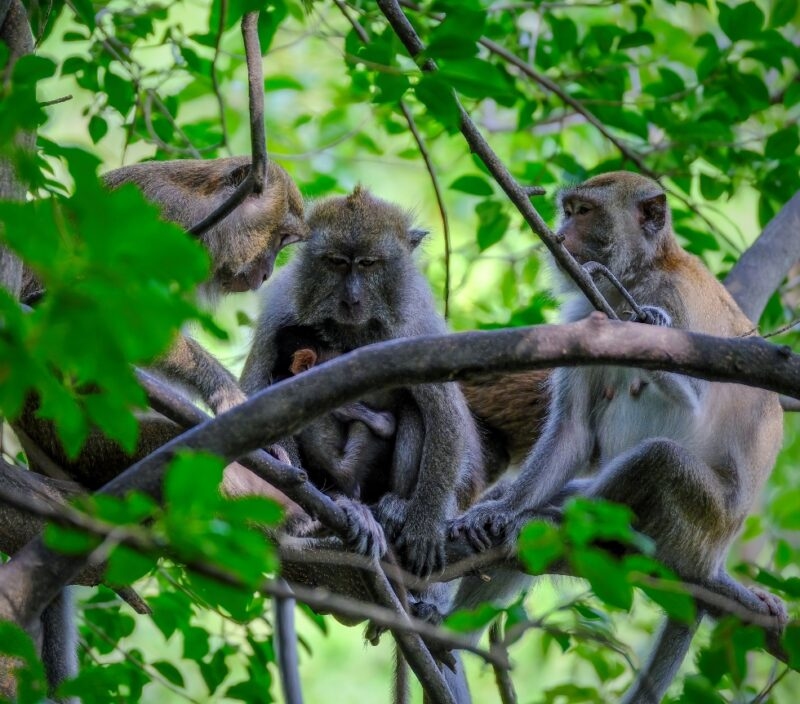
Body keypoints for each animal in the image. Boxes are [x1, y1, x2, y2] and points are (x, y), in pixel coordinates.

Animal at [449, 172, 787, 703]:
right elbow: (573, 432)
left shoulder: (674, 303)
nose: (560, 235)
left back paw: (549, 520)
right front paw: (499, 509)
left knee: (661, 458)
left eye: (585, 212)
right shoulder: (585, 321)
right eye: (569, 210)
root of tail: (712, 558)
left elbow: (695, 400)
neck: (641, 274)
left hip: (695, 527)